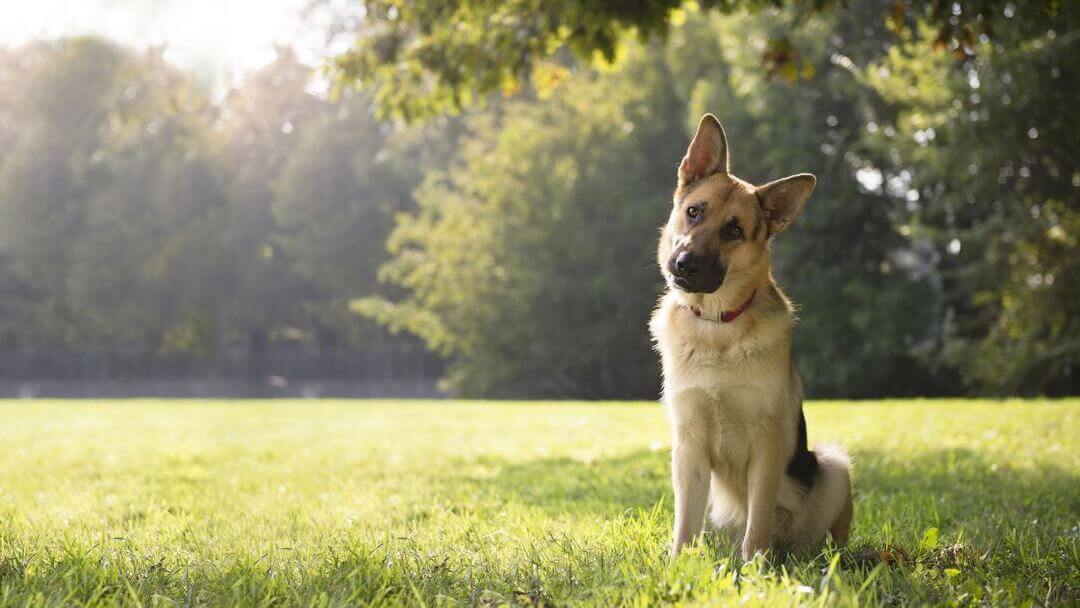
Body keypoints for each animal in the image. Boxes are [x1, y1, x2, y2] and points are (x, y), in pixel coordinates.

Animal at [648, 115, 851, 561]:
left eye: (734, 230)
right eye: (693, 212)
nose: (684, 265)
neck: (717, 326)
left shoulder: (768, 446)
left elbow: (758, 519)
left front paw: (755, 566)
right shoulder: (688, 448)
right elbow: (684, 523)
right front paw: (678, 563)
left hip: (833, 465)